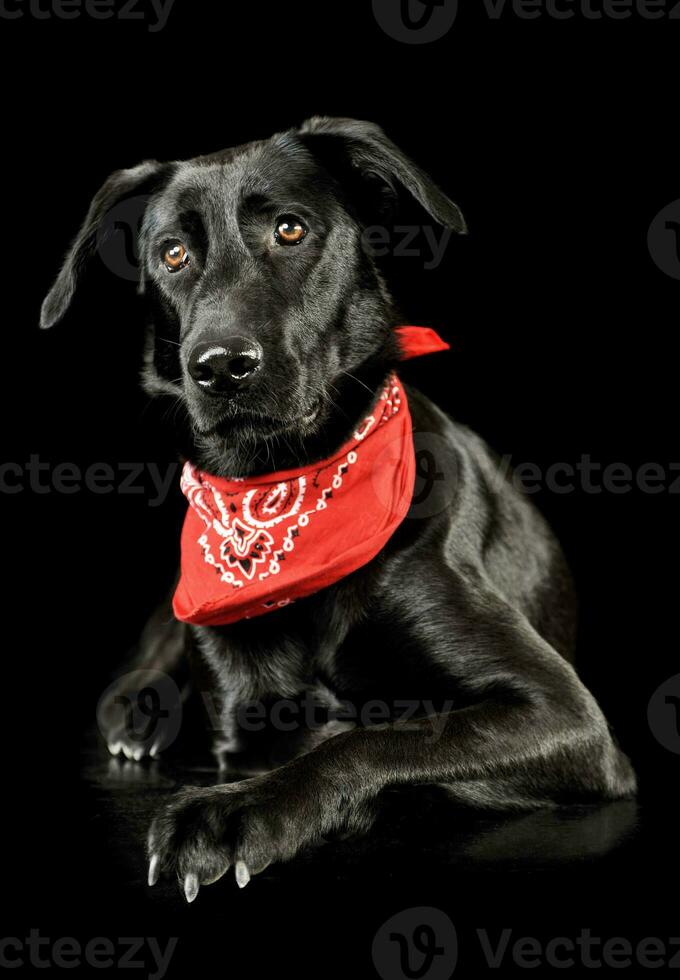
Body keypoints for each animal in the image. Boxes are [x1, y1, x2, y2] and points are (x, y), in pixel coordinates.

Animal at [41, 117, 636, 904]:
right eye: (172, 253)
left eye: (290, 229)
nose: (220, 367)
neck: (283, 492)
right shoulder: (250, 716)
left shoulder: (567, 716)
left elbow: (383, 735)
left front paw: (234, 813)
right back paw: (136, 711)